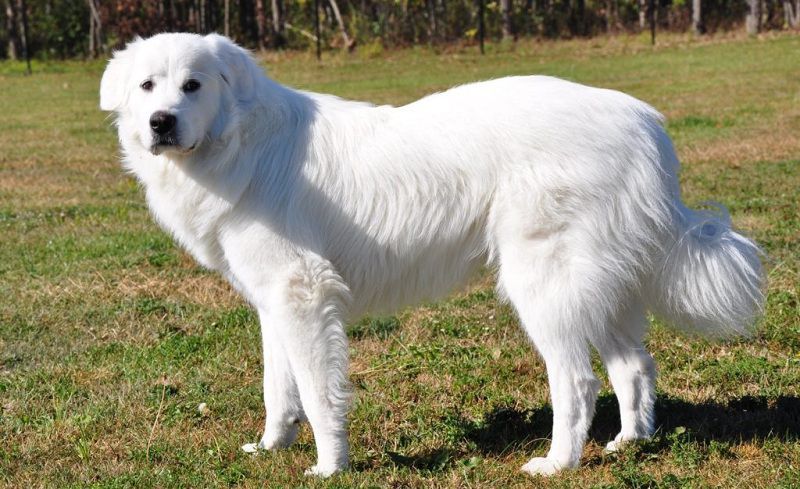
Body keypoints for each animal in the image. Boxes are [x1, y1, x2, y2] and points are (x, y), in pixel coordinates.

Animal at [98, 32, 764, 474]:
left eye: (193, 85)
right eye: (147, 86)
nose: (161, 122)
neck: (240, 140)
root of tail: (644, 123)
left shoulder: (303, 294)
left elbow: (316, 391)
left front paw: (329, 468)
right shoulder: (273, 303)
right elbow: (277, 388)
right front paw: (270, 448)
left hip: (543, 284)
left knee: (577, 381)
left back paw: (557, 464)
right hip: (601, 285)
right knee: (634, 367)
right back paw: (629, 445)